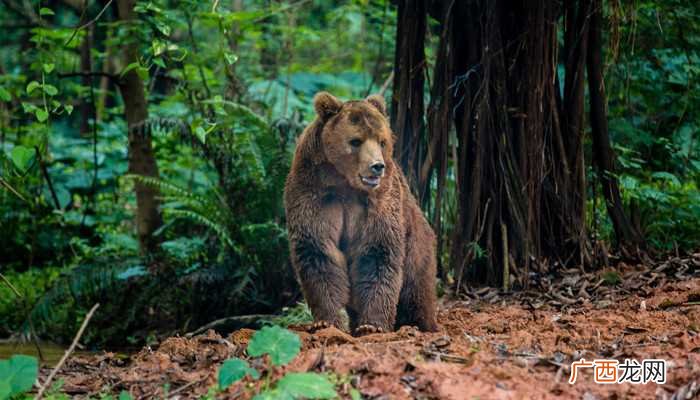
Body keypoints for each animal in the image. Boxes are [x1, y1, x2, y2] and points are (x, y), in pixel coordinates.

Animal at [283, 91, 438, 336]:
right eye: (356, 141)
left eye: (382, 141)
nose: (377, 166)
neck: (345, 182)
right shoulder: (314, 192)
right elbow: (318, 251)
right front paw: (326, 321)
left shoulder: (379, 201)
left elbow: (377, 253)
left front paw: (372, 325)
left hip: (417, 248)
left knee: (416, 292)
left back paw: (419, 324)